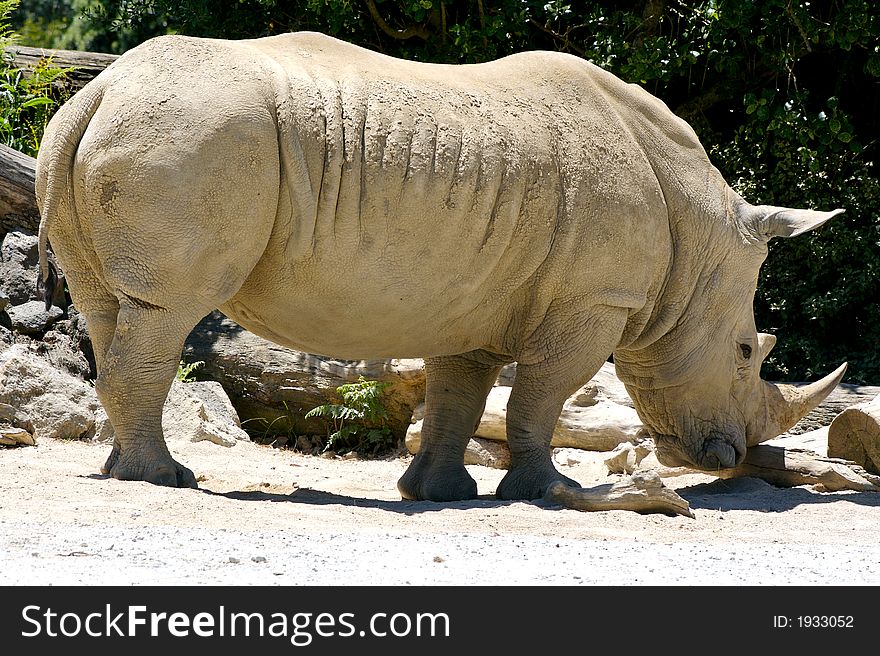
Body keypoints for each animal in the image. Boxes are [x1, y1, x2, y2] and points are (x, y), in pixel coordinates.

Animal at [34, 30, 844, 502]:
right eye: (745, 351)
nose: (729, 458)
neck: (700, 237)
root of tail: (100, 88)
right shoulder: (595, 300)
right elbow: (542, 396)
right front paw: (569, 494)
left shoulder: (476, 293)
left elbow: (461, 392)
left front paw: (439, 491)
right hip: (196, 132)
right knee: (167, 311)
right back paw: (164, 479)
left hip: (111, 131)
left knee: (111, 308)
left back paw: (125, 470)